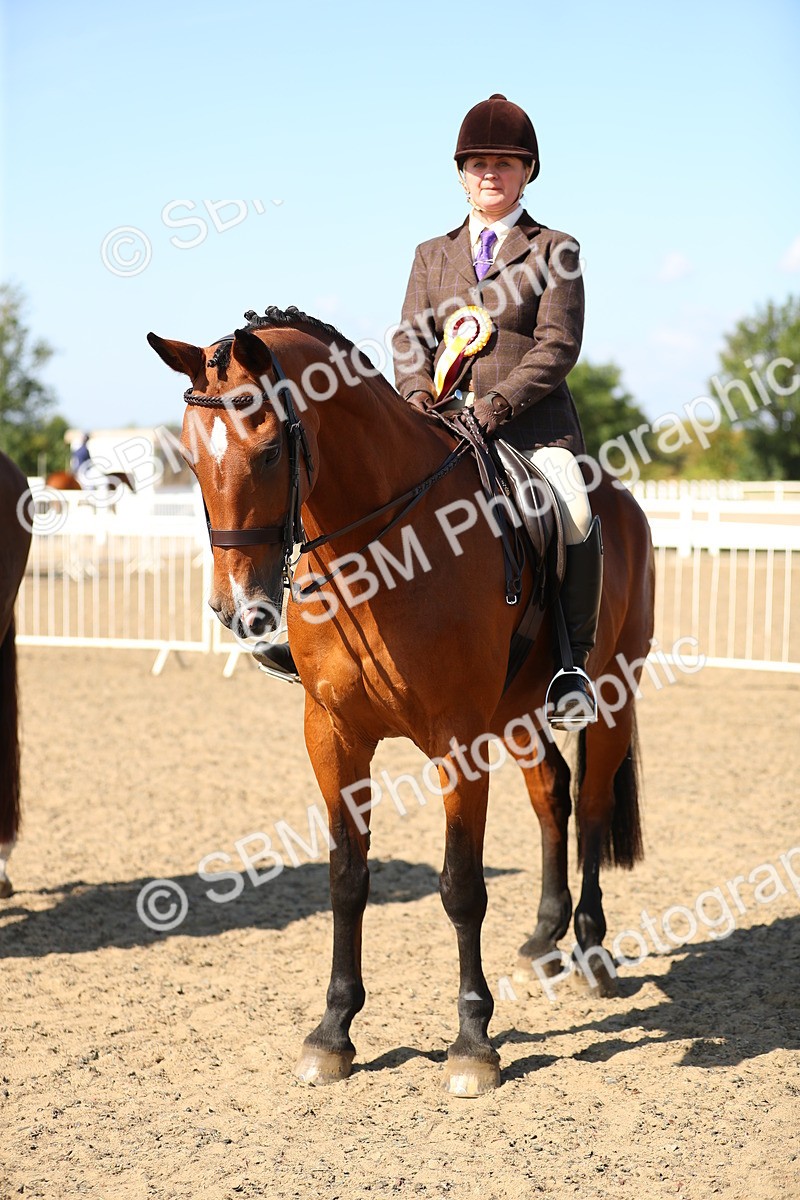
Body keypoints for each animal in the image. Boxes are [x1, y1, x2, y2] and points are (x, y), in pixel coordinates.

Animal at [148, 307, 655, 1096]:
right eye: (193, 460)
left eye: (269, 453)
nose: (238, 611)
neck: (377, 554)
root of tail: (621, 497)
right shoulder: (332, 735)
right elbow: (346, 878)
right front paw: (332, 1032)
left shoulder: (458, 741)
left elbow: (462, 885)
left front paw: (473, 1042)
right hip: (518, 715)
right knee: (553, 798)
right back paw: (543, 941)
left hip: (611, 693)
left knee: (594, 807)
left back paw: (591, 953)